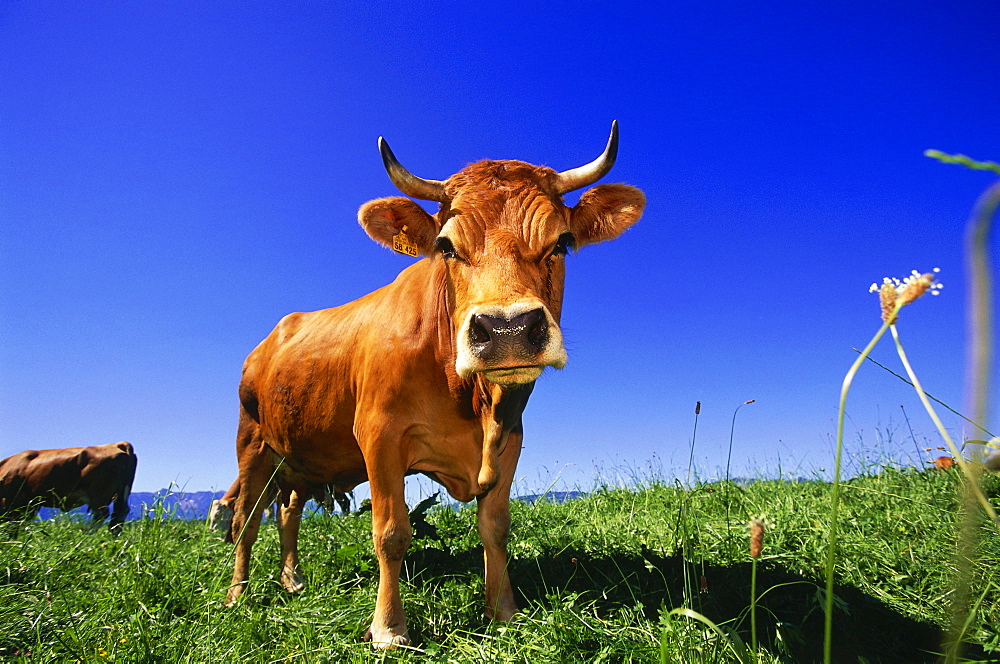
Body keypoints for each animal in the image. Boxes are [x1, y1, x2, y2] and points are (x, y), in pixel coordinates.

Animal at [0, 444, 138, 532]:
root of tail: (118, 445)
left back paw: (86, 536)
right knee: (118, 518)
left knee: (101, 515)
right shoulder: (31, 505)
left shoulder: (11, 504)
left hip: (99, 495)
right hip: (121, 493)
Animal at [225, 122, 648, 644]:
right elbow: (391, 533)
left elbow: (496, 528)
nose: (507, 330)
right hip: (253, 444)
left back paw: (293, 581)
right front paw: (389, 628)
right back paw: (238, 595)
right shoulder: (379, 436)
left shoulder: (510, 440)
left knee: (288, 514)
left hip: (299, 457)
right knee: (245, 520)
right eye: (446, 247)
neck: (474, 402)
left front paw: (503, 611)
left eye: (562, 243)